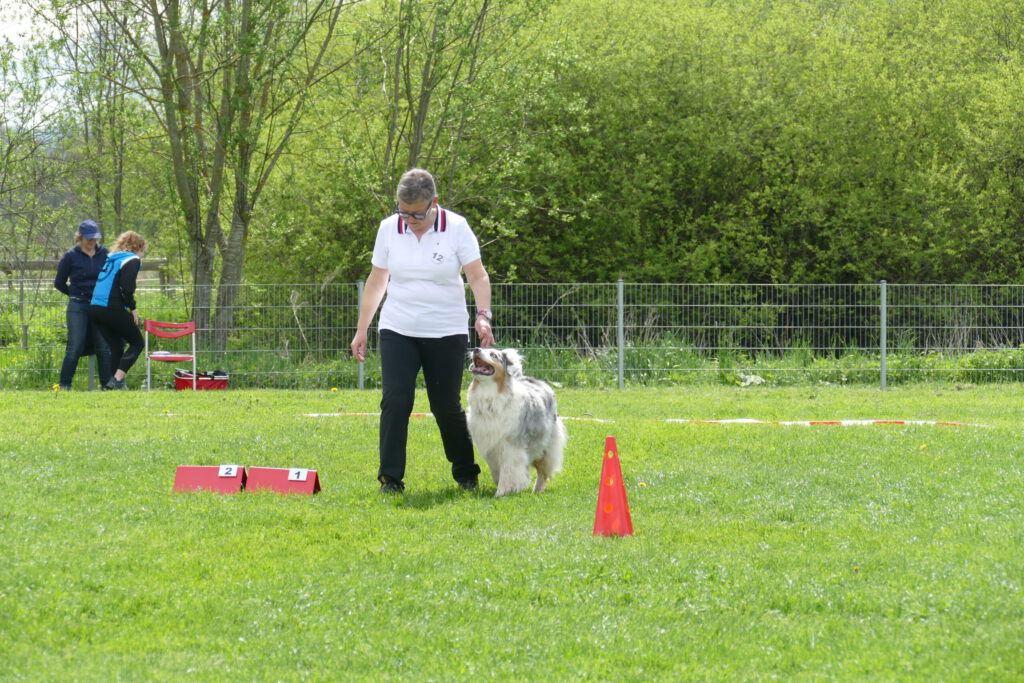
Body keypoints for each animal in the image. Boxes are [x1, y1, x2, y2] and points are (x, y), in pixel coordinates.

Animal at [466, 347, 566, 497]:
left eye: (493, 354)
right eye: (481, 349)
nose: (476, 349)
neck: (490, 397)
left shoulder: (511, 446)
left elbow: (508, 471)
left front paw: (501, 492)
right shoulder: (491, 447)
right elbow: (497, 470)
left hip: (545, 447)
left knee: (542, 473)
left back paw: (536, 491)